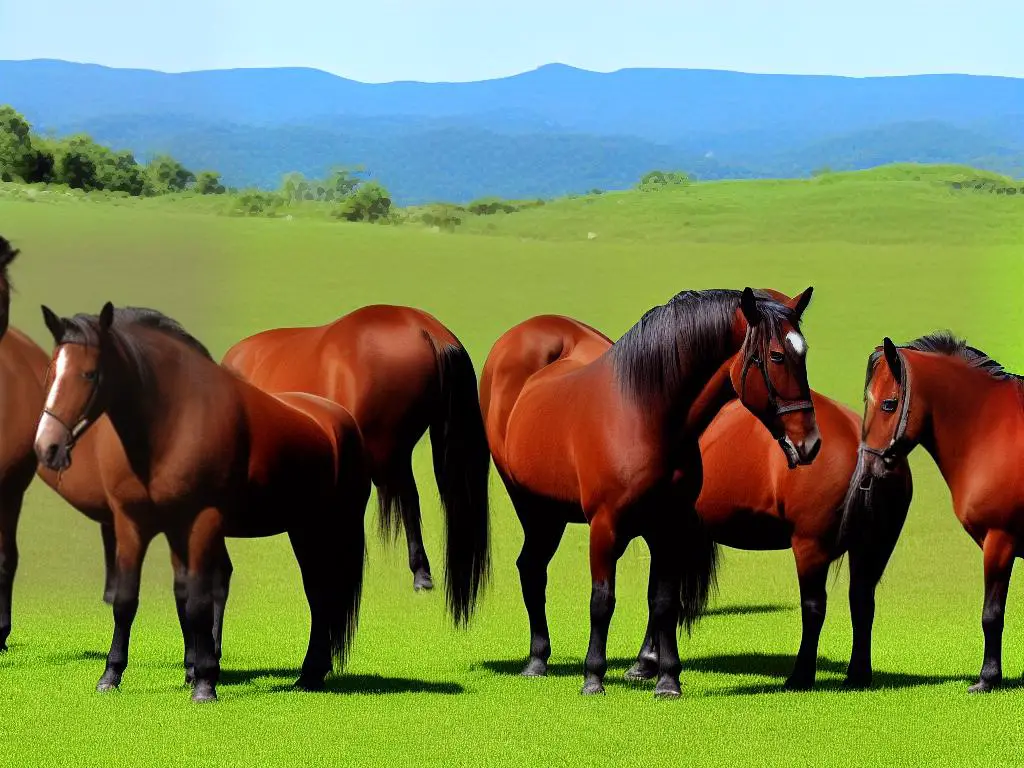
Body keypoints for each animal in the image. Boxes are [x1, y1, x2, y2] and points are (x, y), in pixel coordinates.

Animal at [35, 303, 372, 704]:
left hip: (326, 527)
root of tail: (339, 420)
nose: (47, 446)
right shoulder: (136, 524)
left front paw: (205, 683)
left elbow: (198, 599)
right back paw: (309, 674)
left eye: (89, 373)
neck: (172, 424)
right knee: (319, 594)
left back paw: (310, 674)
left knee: (320, 595)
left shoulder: (202, 521)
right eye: (51, 372)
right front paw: (112, 676)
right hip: (302, 528)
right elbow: (130, 600)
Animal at [479, 286, 823, 696]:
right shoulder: (605, 526)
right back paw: (536, 660)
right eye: (776, 356)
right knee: (532, 568)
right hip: (534, 508)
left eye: (805, 354)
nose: (809, 444)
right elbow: (602, 600)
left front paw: (668, 680)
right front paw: (593, 678)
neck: (645, 413)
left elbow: (664, 602)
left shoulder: (669, 526)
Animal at [856, 333, 1024, 696]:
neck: (992, 431)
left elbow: (992, 614)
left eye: (888, 404)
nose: (868, 470)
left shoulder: (1000, 542)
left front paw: (988, 678)